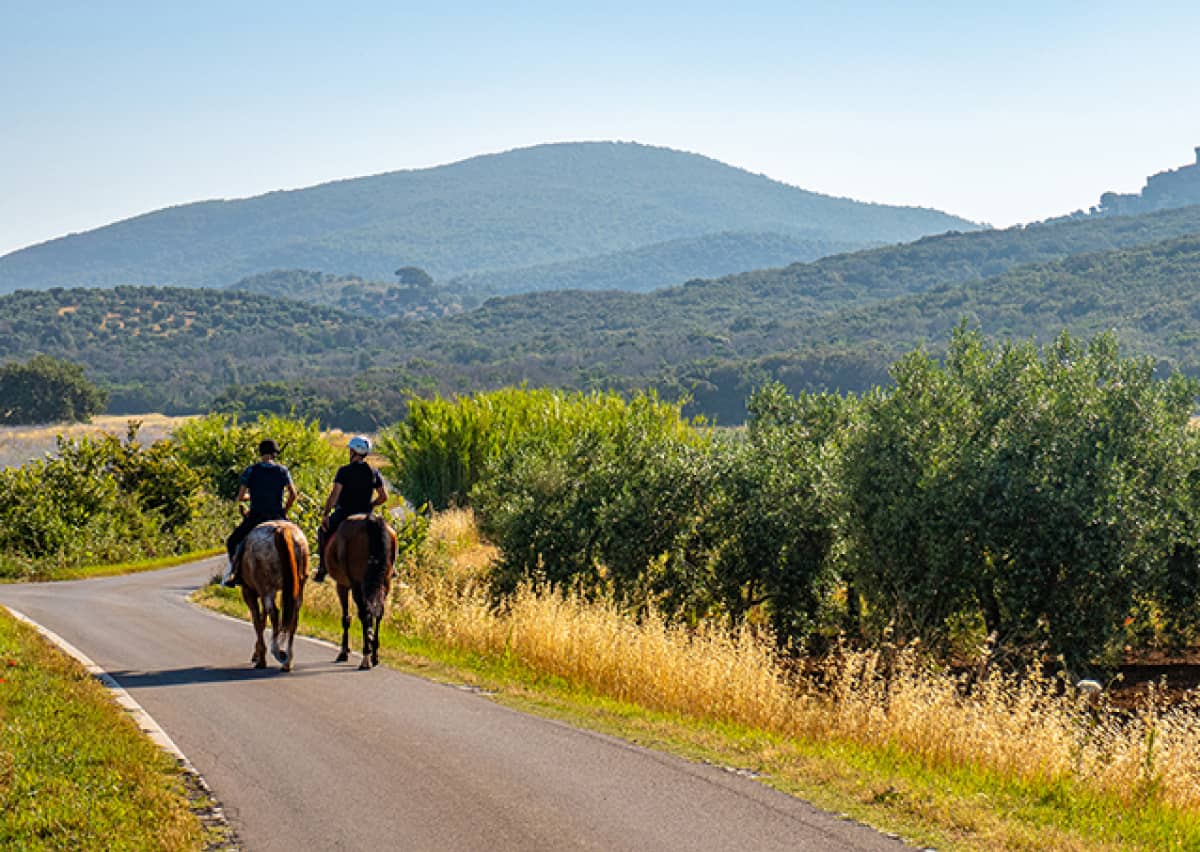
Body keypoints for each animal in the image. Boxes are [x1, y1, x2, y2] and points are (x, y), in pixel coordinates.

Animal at [239, 520, 309, 672]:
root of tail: (281, 529)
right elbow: (262, 621)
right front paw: (258, 654)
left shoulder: (249, 593)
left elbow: (258, 623)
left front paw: (260, 657)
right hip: (297, 587)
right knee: (293, 618)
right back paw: (287, 662)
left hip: (267, 588)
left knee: (274, 613)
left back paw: (276, 653)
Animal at [324, 514, 397, 670]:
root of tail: (372, 520)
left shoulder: (342, 585)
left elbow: (346, 618)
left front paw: (343, 652)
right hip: (385, 583)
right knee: (378, 613)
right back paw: (374, 655)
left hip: (357, 583)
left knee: (364, 614)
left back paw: (366, 657)